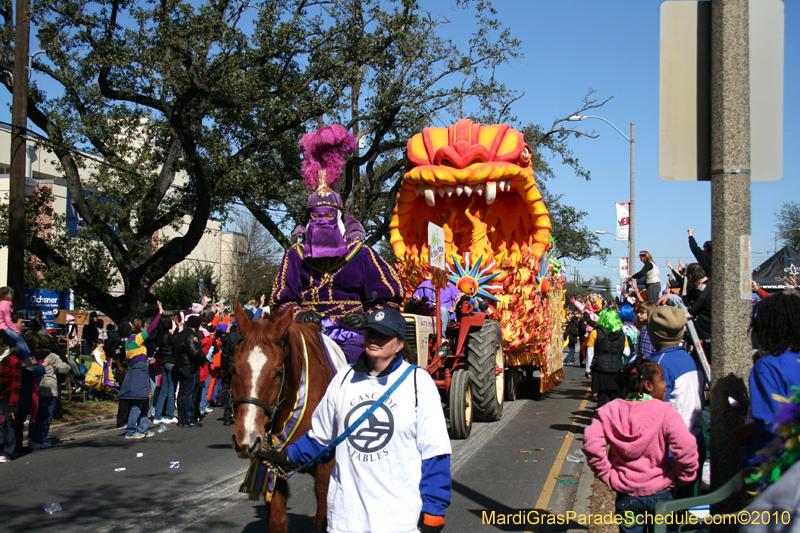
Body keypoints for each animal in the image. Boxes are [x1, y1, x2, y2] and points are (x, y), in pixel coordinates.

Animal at [230, 304, 332, 532]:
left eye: (278, 372)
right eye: (233, 368)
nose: (246, 439)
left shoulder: (326, 472)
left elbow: (323, 520)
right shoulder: (271, 468)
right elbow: (277, 521)